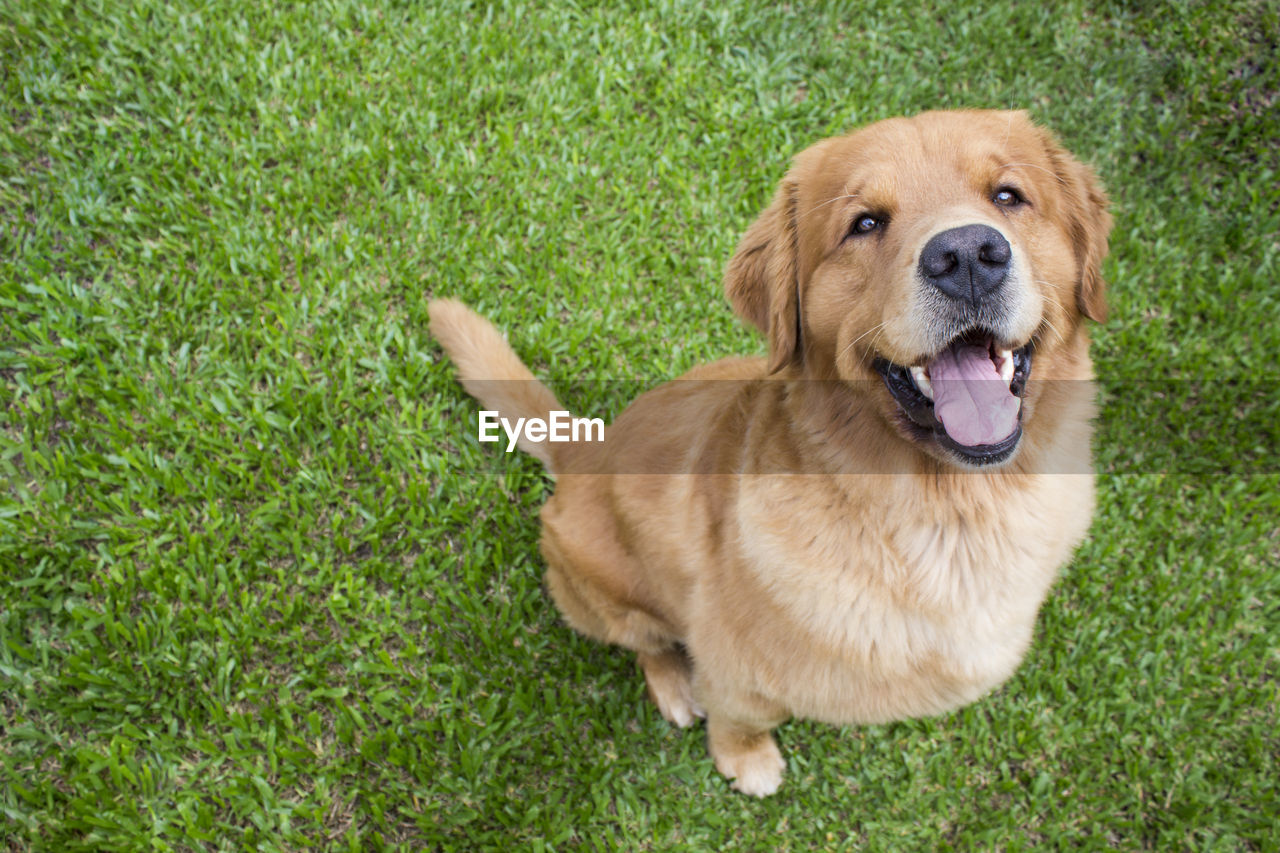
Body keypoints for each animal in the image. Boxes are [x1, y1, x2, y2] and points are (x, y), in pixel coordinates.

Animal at [430, 109, 1111, 794]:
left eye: (1009, 196)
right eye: (865, 223)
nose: (967, 255)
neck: (950, 516)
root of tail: (581, 454)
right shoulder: (733, 663)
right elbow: (739, 716)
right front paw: (746, 760)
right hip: (605, 592)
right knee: (646, 643)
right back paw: (673, 686)